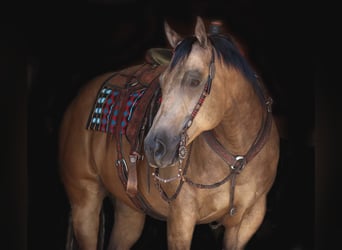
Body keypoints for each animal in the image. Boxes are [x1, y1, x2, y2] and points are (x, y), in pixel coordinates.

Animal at [58, 16, 278, 249]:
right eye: (162, 82)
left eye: (194, 81)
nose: (153, 147)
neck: (237, 154)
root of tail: (77, 100)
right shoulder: (181, 219)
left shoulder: (245, 223)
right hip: (85, 204)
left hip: (129, 210)